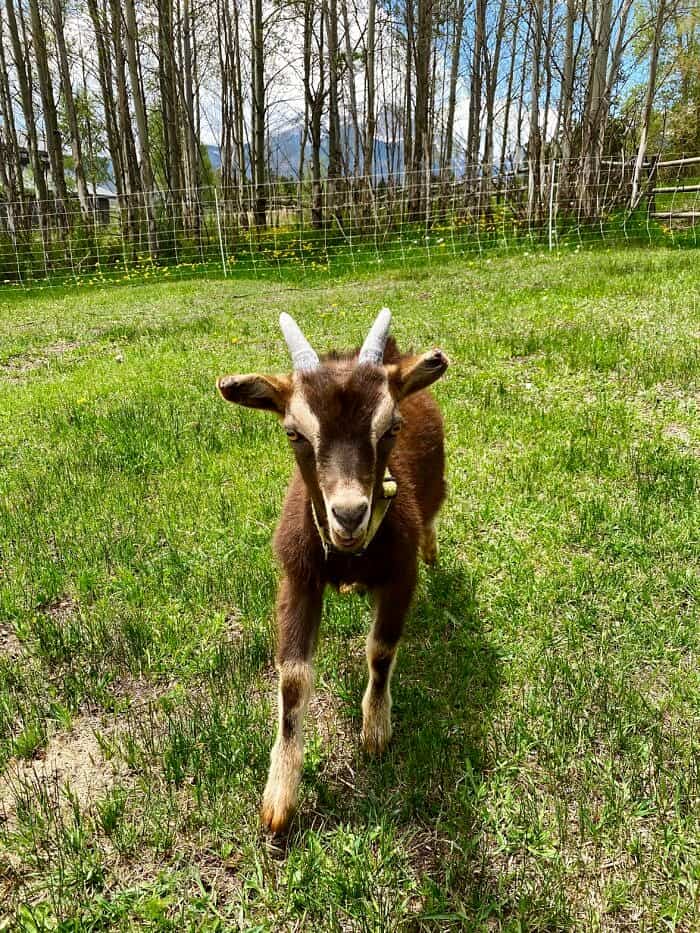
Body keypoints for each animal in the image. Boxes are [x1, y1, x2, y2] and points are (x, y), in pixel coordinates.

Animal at [217, 308, 448, 833]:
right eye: (294, 432)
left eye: (391, 427)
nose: (348, 514)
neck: (348, 553)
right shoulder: (298, 579)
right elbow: (293, 679)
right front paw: (279, 797)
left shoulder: (400, 576)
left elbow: (381, 651)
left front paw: (375, 730)